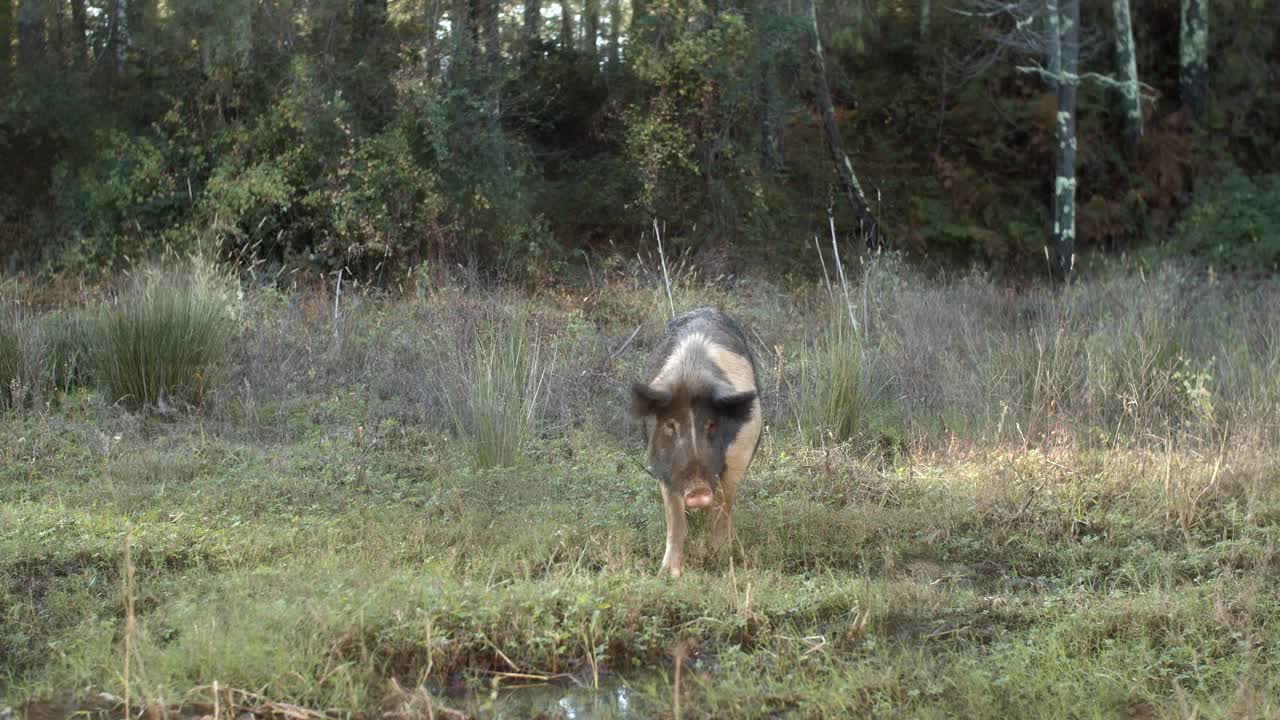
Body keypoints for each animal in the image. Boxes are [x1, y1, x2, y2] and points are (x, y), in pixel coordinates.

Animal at [629, 304, 757, 573]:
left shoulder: (739, 455)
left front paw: (721, 560)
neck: (692, 378)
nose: (698, 489)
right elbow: (674, 517)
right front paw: (669, 573)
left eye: (711, 423)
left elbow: (723, 506)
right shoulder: (663, 465)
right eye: (670, 425)